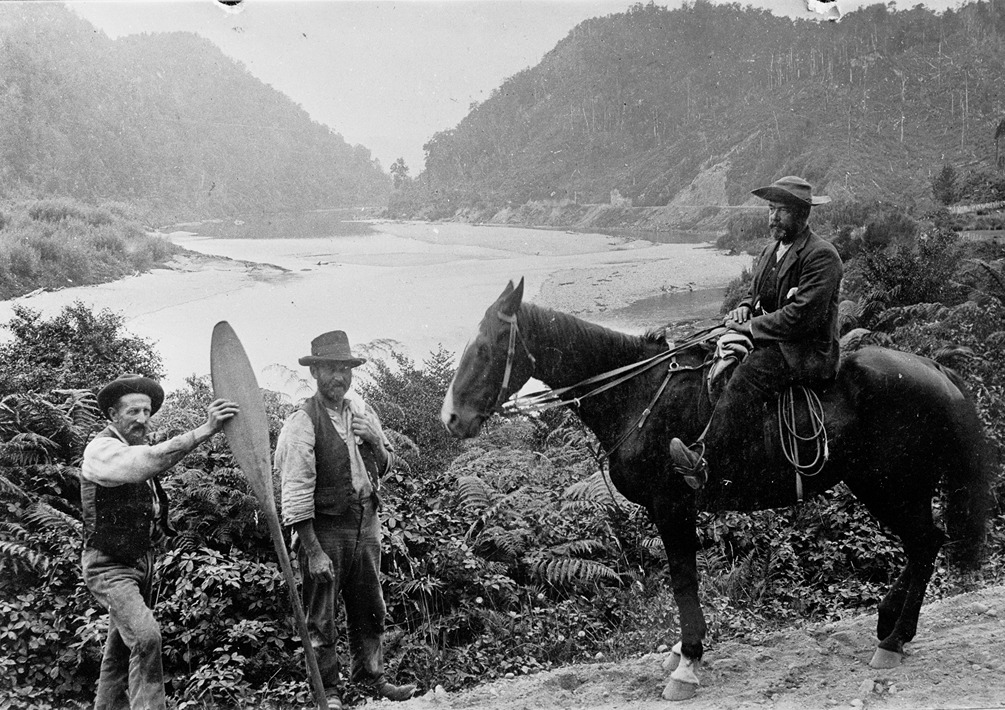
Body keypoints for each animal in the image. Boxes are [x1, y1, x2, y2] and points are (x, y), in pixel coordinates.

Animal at [440, 277, 988, 695]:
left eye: (486, 347)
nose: (451, 418)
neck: (638, 393)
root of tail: (936, 368)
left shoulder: (672, 505)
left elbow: (684, 579)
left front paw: (688, 661)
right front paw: (684, 653)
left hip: (892, 486)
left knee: (925, 543)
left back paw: (892, 640)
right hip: (890, 486)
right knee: (924, 544)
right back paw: (892, 625)